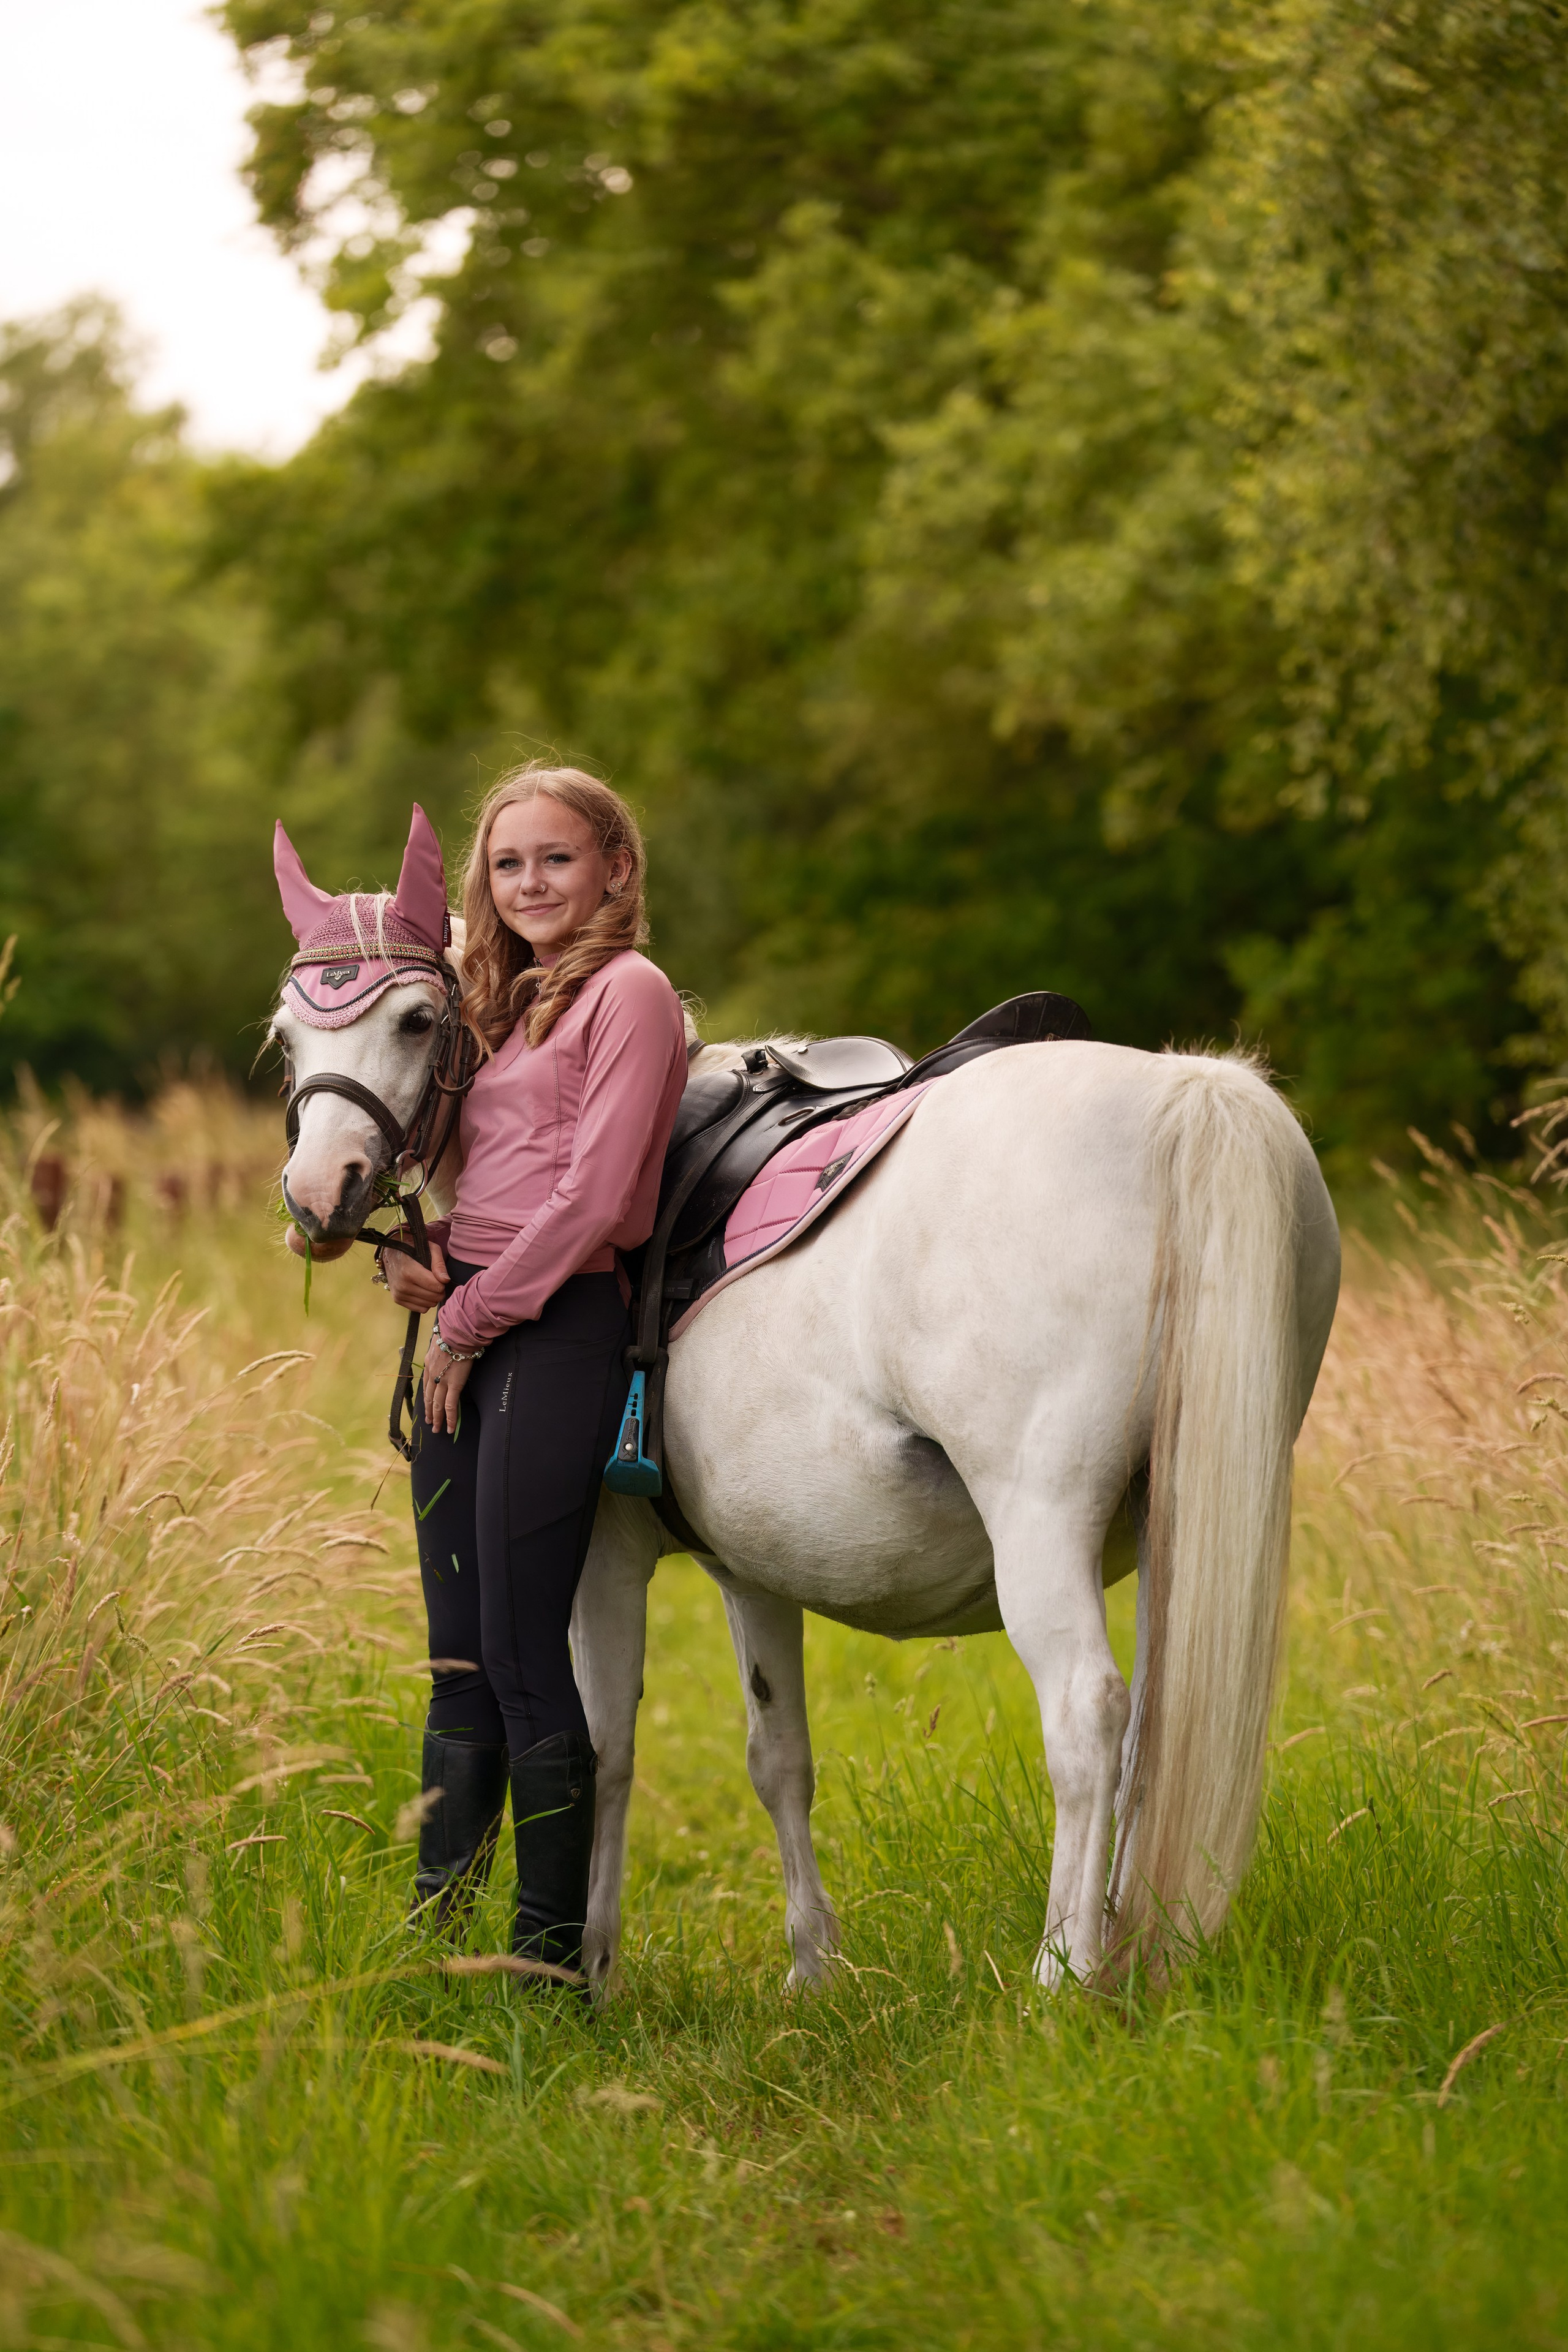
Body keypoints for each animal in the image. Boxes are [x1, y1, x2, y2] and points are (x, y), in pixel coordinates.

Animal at [273, 922, 1340, 1995]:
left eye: (416, 1021)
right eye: (287, 1037)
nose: (321, 1191)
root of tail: (1186, 1096)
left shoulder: (601, 1559)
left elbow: (605, 1747)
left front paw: (593, 1964)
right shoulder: (755, 1569)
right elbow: (778, 1754)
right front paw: (812, 1967)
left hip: (1041, 1521)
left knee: (1087, 1720)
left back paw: (1064, 1976)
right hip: (1176, 1524)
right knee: (1156, 1731)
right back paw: (1125, 1952)